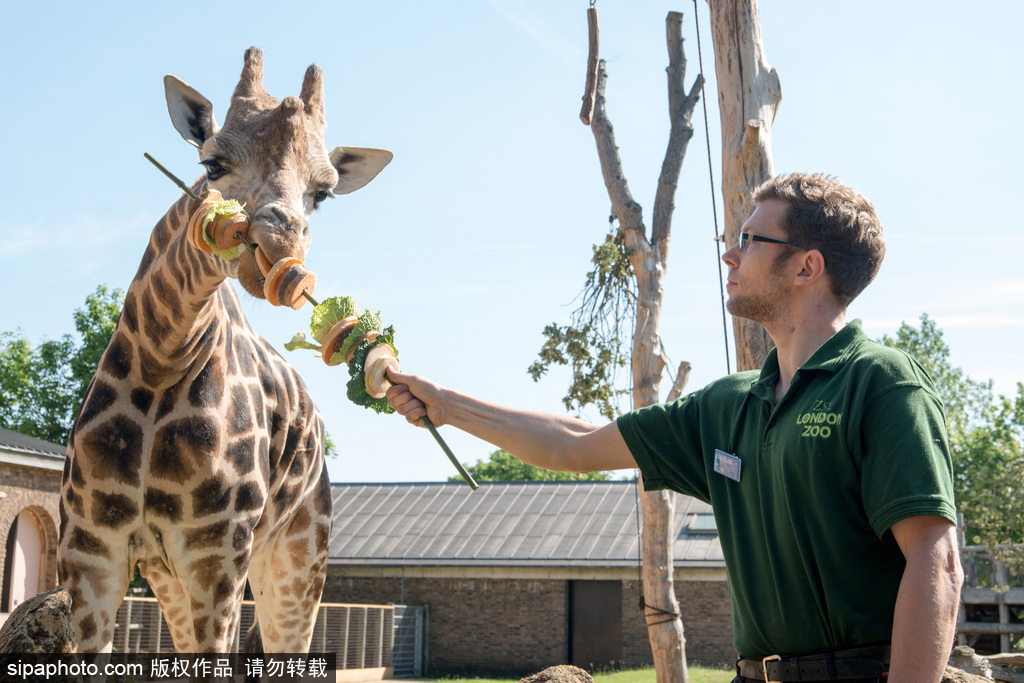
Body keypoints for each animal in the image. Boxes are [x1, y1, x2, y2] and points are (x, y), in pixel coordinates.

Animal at [57, 45, 391, 655]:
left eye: (322, 193)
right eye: (211, 165)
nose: (279, 247)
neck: (161, 359)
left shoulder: (217, 554)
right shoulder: (90, 550)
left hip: (297, 559)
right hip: (166, 572)